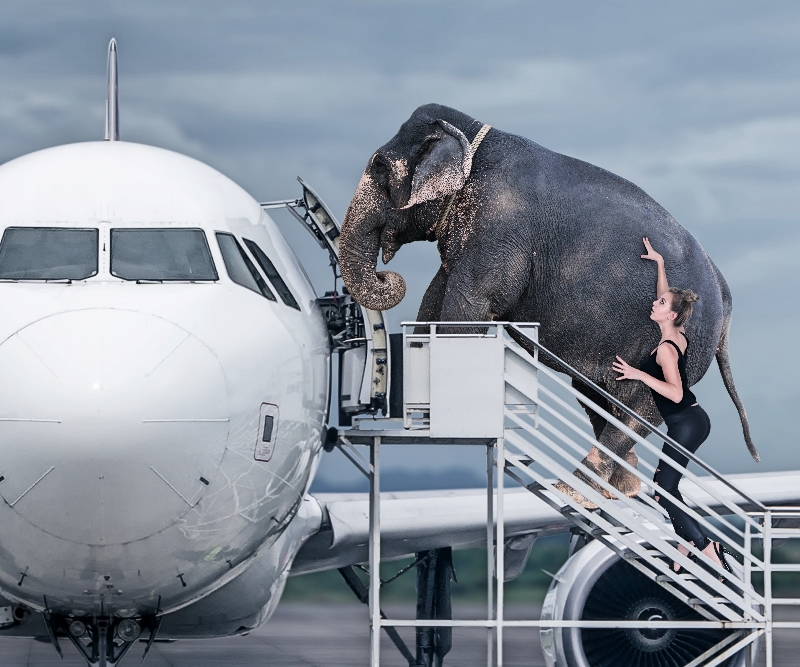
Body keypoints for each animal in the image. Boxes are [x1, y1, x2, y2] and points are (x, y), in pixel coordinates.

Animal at [340, 103, 764, 500]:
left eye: (379, 168)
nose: (388, 275)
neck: (473, 136)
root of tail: (726, 300)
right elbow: (435, 296)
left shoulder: (499, 232)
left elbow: (469, 306)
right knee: (599, 397)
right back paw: (621, 489)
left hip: (679, 345)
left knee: (636, 407)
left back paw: (574, 490)